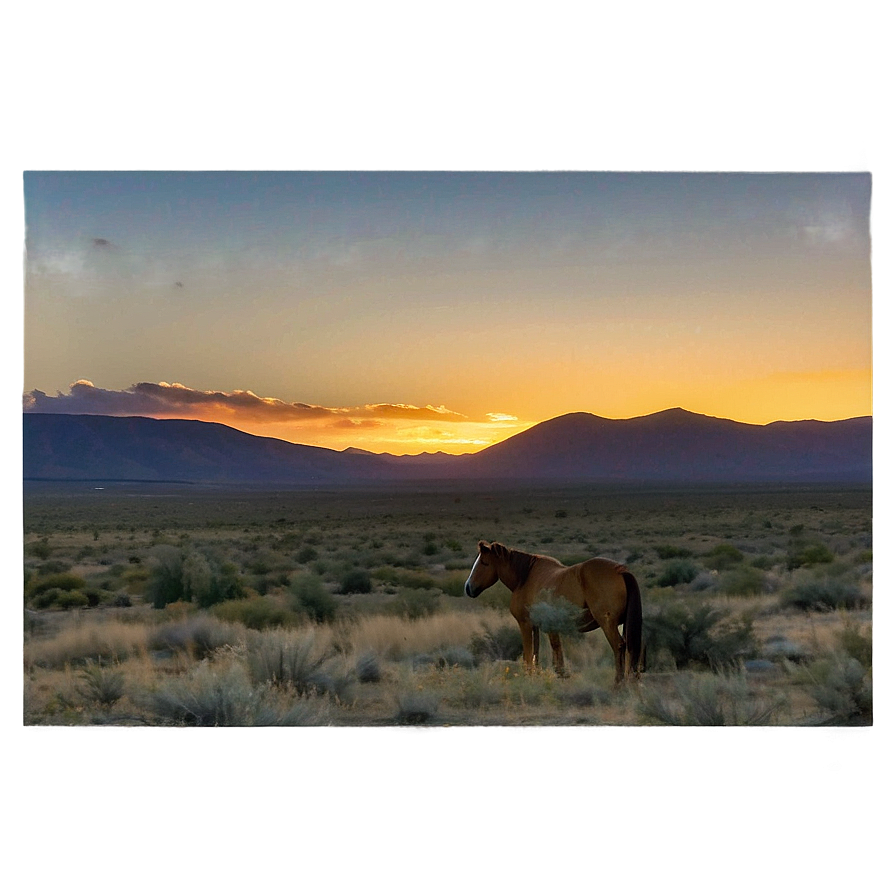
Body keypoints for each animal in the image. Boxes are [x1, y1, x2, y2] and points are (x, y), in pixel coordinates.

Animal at [462, 540, 644, 688]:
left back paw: (618, 683)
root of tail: (619, 570)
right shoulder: (543, 627)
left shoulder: (525, 624)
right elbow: (547, 654)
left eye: (484, 563)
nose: (468, 587)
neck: (525, 577)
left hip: (607, 624)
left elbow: (528, 654)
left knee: (619, 646)